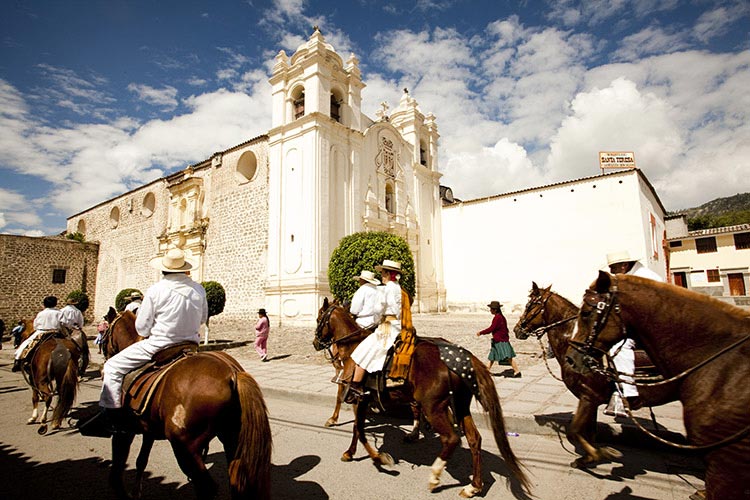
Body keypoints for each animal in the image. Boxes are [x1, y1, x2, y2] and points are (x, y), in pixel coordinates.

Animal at [93, 308, 270, 500]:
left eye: (105, 331)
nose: (103, 363)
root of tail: (232, 374)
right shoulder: (149, 429)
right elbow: (141, 460)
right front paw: (136, 491)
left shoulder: (124, 430)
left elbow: (117, 468)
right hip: (232, 438)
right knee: (236, 482)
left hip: (185, 446)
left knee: (207, 488)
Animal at [314, 296, 532, 496]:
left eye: (318, 319)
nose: (316, 342)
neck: (354, 345)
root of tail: (464, 358)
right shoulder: (364, 399)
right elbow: (357, 428)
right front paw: (353, 451)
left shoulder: (359, 397)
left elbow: (358, 428)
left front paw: (376, 457)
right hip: (461, 405)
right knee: (474, 439)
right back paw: (474, 486)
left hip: (434, 407)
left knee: (451, 438)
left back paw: (435, 476)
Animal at [516, 284, 680, 466]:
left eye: (529, 305)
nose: (516, 330)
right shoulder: (590, 399)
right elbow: (590, 432)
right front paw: (591, 456)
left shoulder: (588, 395)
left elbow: (575, 431)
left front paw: (596, 455)